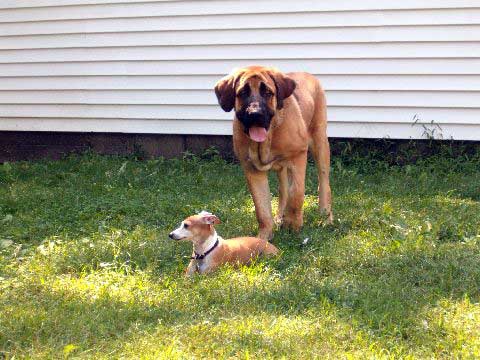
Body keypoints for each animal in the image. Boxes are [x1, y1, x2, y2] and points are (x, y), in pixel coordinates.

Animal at [215, 65, 332, 239]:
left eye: (267, 93)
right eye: (242, 93)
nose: (255, 114)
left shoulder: (298, 157)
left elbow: (296, 193)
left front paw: (293, 225)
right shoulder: (252, 171)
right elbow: (262, 209)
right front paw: (264, 237)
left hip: (320, 143)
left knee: (323, 183)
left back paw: (326, 217)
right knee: (283, 189)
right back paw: (280, 217)